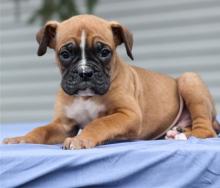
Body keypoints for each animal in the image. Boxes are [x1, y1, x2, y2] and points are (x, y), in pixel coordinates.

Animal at [2, 14, 219, 149]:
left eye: (105, 52)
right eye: (65, 54)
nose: (85, 72)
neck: (86, 97)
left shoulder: (128, 114)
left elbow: (100, 123)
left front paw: (82, 139)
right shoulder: (63, 125)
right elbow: (42, 130)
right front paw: (23, 139)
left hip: (189, 79)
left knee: (206, 130)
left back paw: (183, 135)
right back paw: (177, 131)